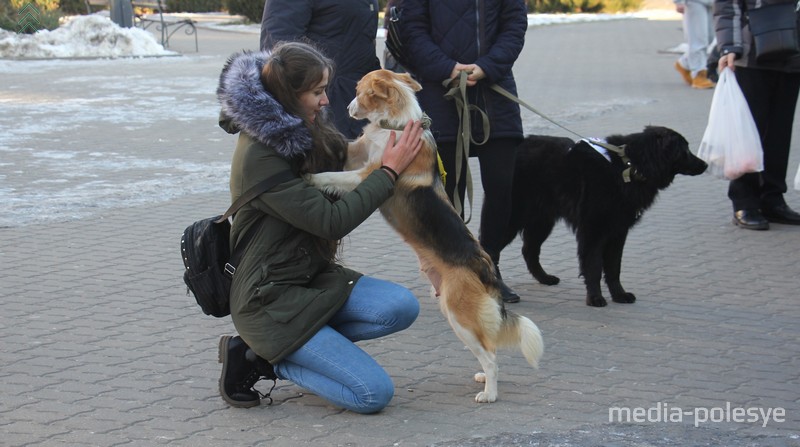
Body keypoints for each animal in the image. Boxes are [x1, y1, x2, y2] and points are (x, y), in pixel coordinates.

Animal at [306, 70, 544, 406]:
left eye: (360, 91)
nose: (348, 109)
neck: (395, 125)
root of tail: (486, 268)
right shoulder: (356, 154)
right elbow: (346, 151)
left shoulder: (366, 174)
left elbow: (331, 177)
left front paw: (309, 177)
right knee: (489, 351)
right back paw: (484, 380)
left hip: (459, 315)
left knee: (491, 357)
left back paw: (489, 393)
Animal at [504, 126, 708, 308]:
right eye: (685, 150)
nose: (705, 165)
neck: (629, 165)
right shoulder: (593, 230)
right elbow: (593, 266)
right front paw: (595, 298)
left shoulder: (618, 231)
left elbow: (613, 267)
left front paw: (619, 295)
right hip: (513, 218)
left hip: (542, 221)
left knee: (529, 250)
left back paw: (544, 278)